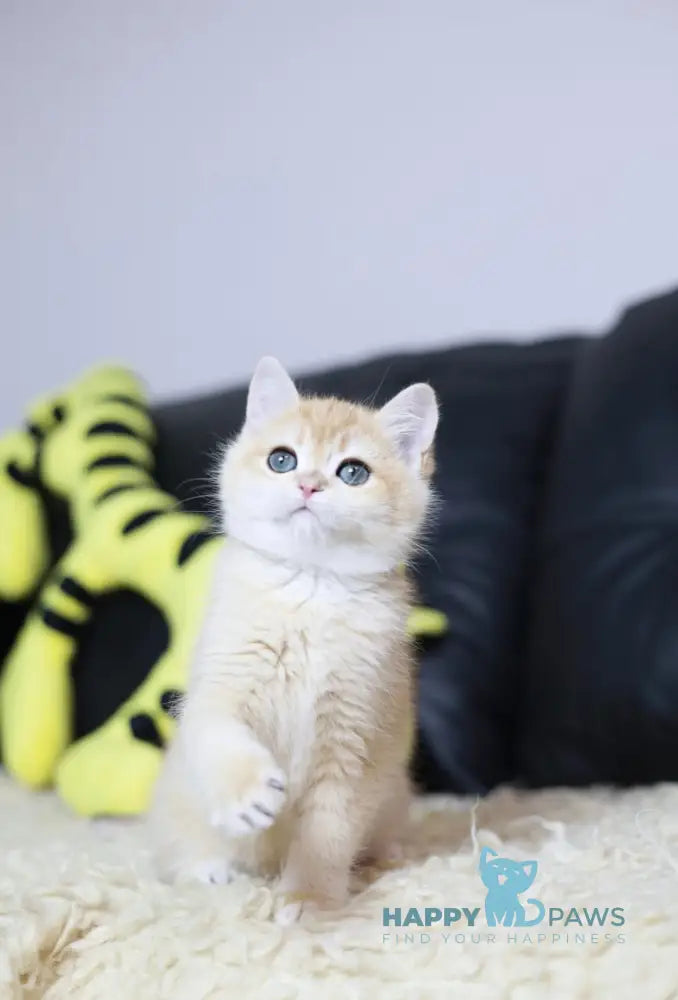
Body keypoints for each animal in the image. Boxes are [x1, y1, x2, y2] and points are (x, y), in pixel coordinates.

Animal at [149, 358, 440, 920]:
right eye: (282, 460)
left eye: (353, 472)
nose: (307, 485)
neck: (310, 590)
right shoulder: (220, 684)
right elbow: (219, 733)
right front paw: (247, 793)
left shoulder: (354, 736)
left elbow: (328, 829)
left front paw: (309, 897)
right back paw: (208, 867)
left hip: (395, 793)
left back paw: (387, 855)